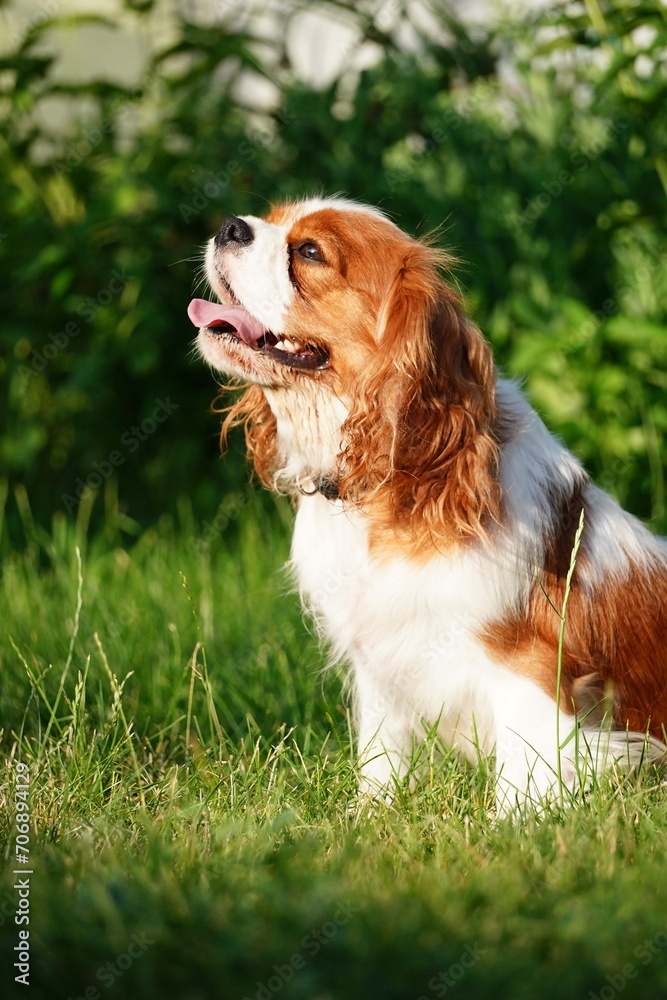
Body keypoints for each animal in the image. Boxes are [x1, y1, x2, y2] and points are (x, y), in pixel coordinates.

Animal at [188, 195, 667, 812]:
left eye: (310, 251)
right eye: (270, 218)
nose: (229, 226)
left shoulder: (528, 662)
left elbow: (527, 765)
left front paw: (512, 823)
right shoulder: (379, 663)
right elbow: (381, 753)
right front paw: (368, 813)